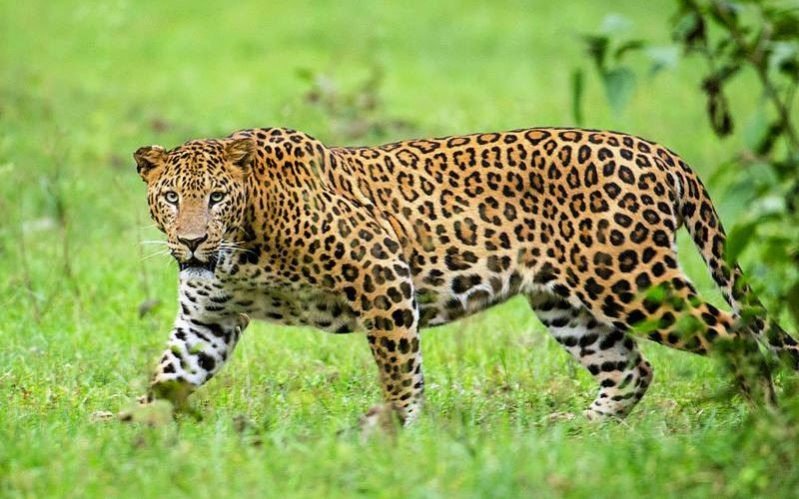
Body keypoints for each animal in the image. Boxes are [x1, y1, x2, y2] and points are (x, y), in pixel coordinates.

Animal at [133, 127, 799, 425]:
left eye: (216, 197)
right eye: (170, 198)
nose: (191, 241)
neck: (242, 247)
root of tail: (661, 152)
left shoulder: (380, 271)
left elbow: (398, 366)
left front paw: (394, 430)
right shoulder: (208, 318)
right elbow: (170, 373)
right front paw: (130, 431)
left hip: (630, 279)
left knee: (737, 338)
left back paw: (766, 425)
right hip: (565, 302)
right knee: (631, 367)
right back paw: (579, 431)